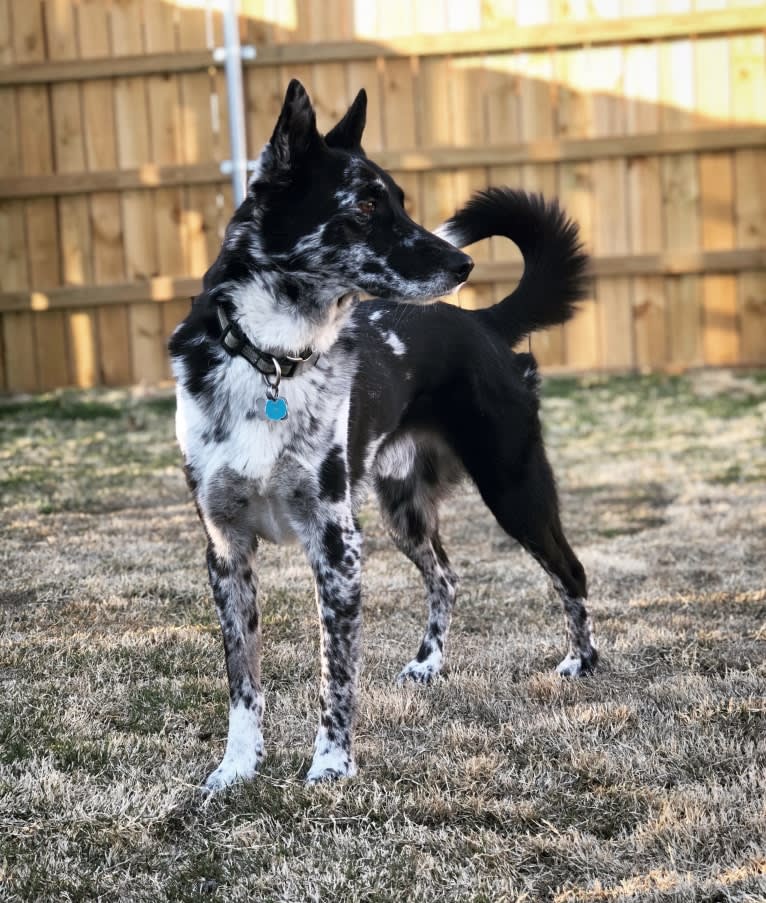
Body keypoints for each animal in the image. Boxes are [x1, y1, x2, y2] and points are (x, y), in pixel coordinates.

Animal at [170, 79, 600, 792]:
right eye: (367, 204)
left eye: (399, 198)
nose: (463, 262)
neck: (271, 360)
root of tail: (480, 323)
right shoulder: (226, 550)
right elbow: (243, 681)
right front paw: (236, 768)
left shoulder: (336, 546)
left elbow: (336, 676)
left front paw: (331, 765)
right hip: (403, 511)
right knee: (446, 576)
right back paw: (428, 664)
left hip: (514, 489)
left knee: (571, 571)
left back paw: (581, 662)